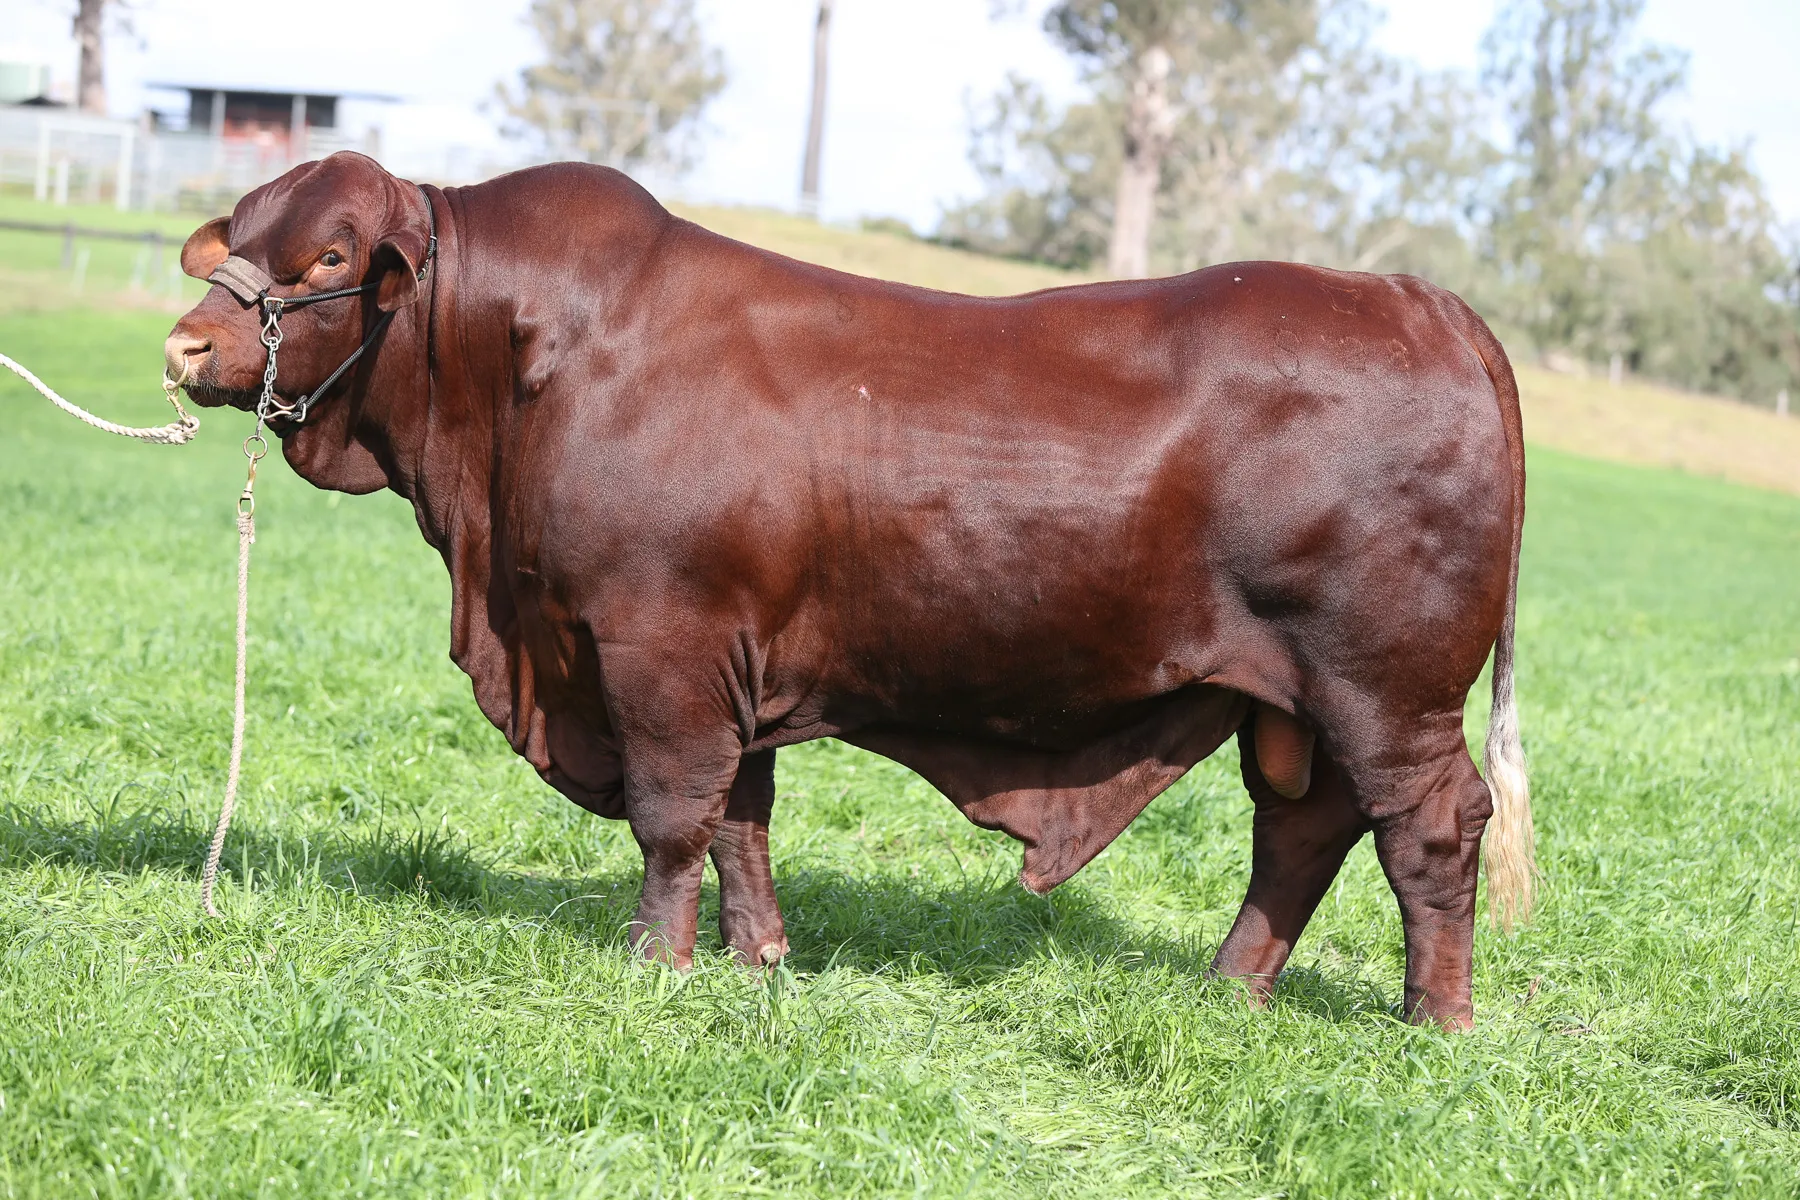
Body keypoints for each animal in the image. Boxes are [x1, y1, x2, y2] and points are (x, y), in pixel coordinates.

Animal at [164, 152, 1532, 1029]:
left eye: (330, 252)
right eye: (245, 237)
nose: (186, 344)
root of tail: (1423, 301)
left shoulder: (658, 649)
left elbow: (673, 817)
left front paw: (651, 966)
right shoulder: (729, 666)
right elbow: (741, 821)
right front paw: (759, 961)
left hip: (1385, 689)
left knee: (1430, 826)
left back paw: (1436, 1018)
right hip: (1295, 702)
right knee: (1304, 828)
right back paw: (1230, 988)